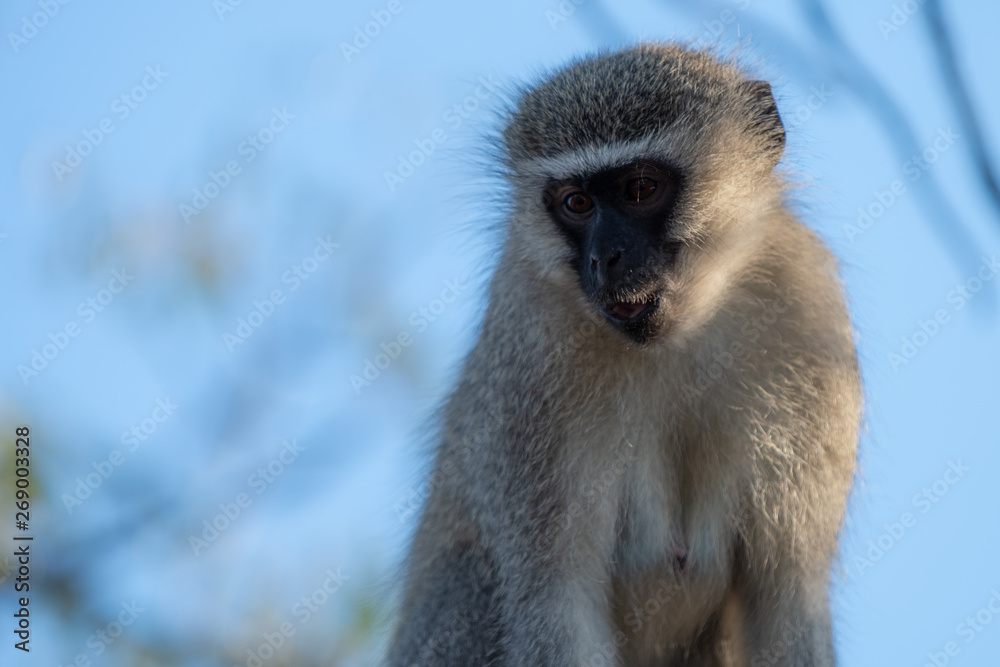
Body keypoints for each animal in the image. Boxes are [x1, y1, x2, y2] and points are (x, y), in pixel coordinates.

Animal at [384, 43, 861, 667]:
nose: (603, 258)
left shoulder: (808, 318)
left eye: (639, 190)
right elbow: (556, 608)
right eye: (577, 203)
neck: (679, 336)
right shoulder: (532, 352)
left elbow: (788, 604)